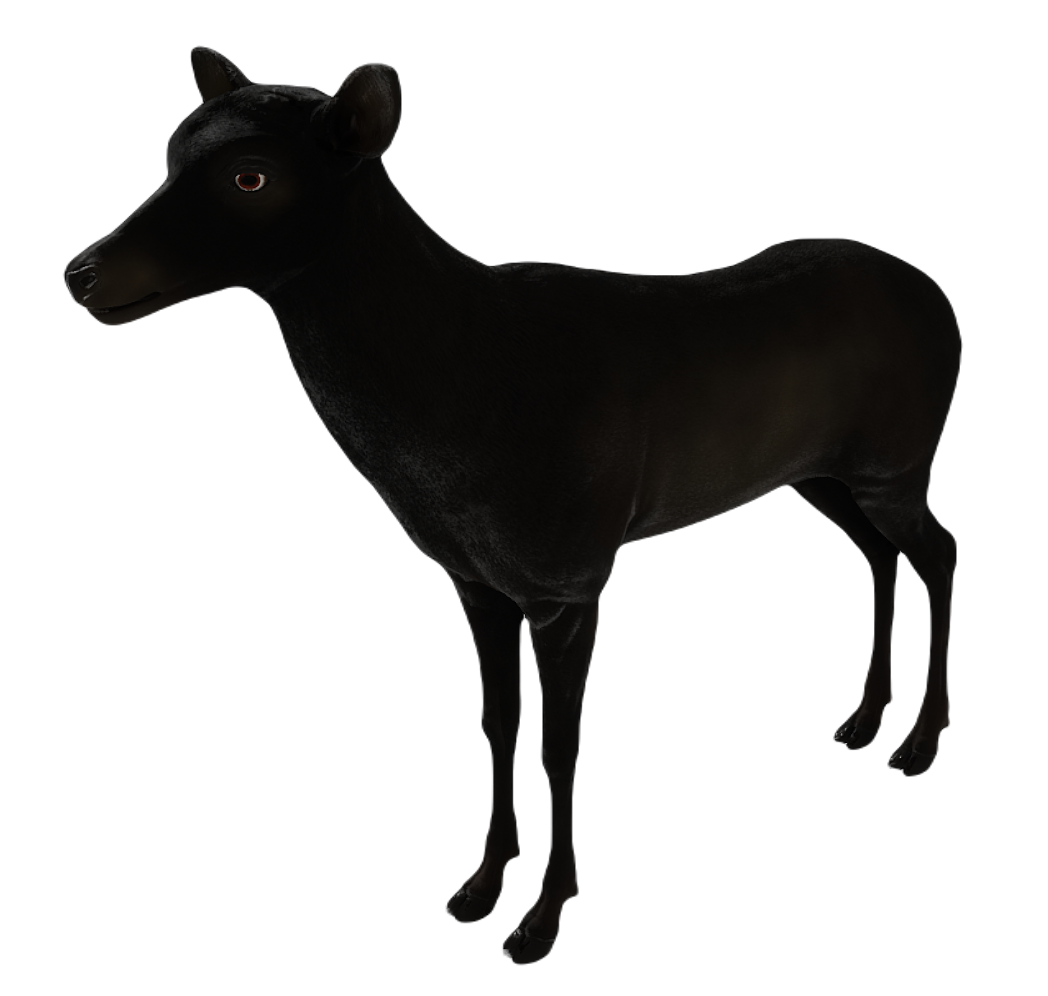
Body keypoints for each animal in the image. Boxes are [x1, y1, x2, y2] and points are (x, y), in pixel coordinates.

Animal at [63, 48, 959, 964]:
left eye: (251, 174)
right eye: (170, 151)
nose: (82, 275)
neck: (453, 426)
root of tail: (942, 299)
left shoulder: (570, 574)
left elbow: (559, 745)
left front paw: (539, 923)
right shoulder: (475, 579)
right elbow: (496, 728)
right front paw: (475, 890)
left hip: (898, 457)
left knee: (937, 548)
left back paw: (917, 745)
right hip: (818, 474)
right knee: (879, 551)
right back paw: (862, 722)